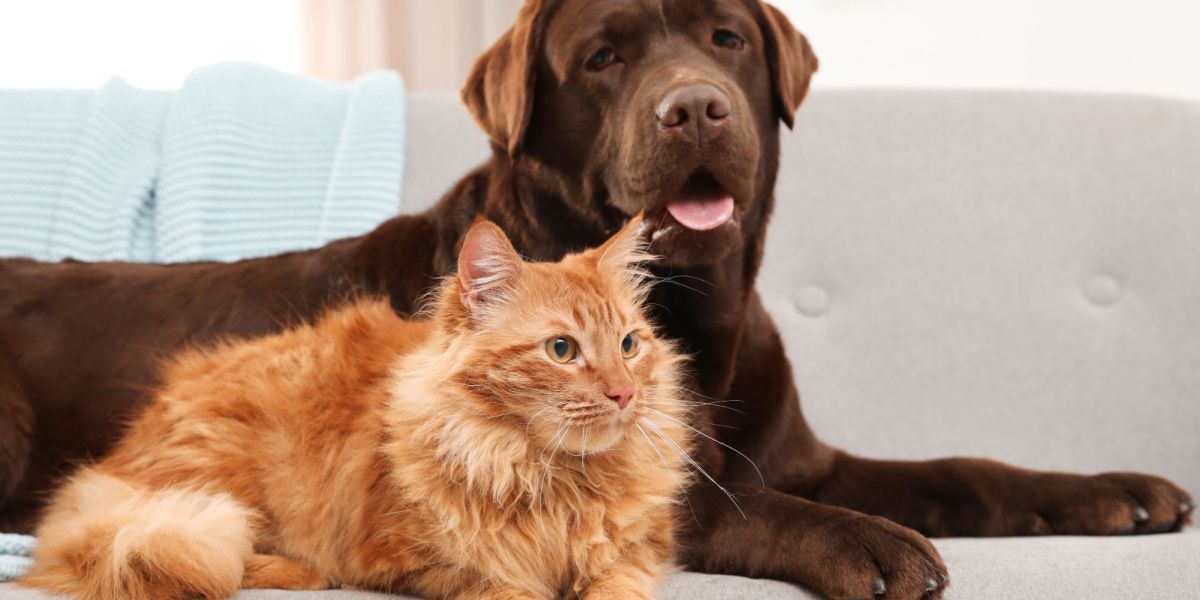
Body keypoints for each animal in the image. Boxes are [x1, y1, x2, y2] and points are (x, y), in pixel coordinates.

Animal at [21, 216, 696, 600]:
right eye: (562, 350)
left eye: (630, 345)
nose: (625, 394)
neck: (552, 479)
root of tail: (118, 459)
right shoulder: (423, 564)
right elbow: (500, 585)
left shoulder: (643, 550)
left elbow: (618, 584)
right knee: (218, 558)